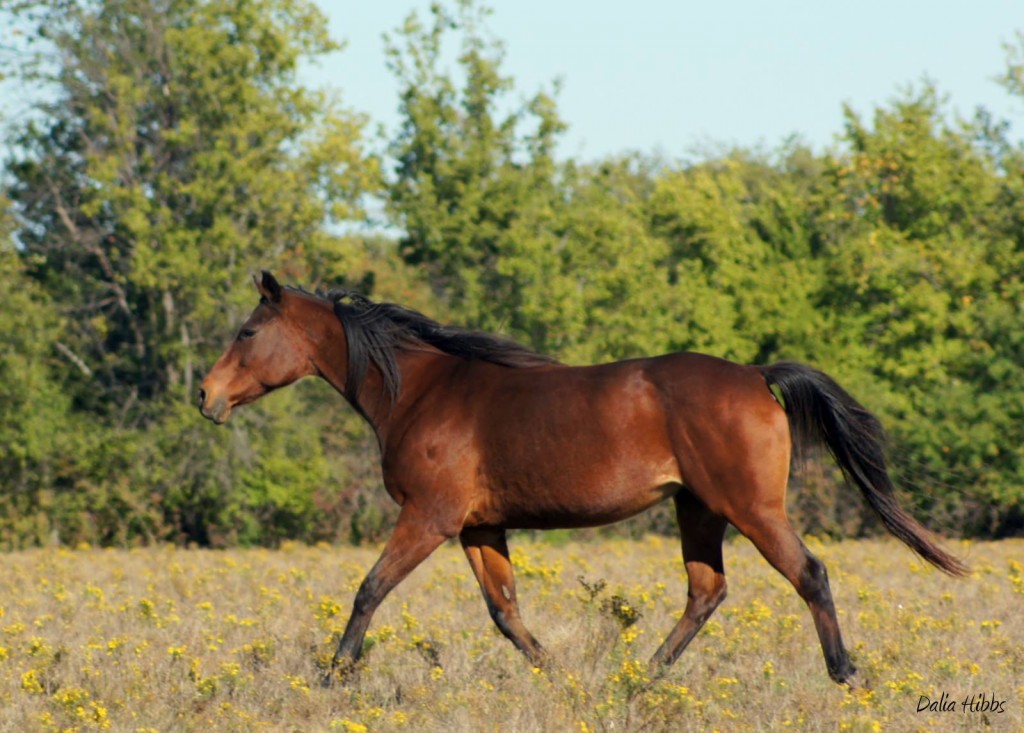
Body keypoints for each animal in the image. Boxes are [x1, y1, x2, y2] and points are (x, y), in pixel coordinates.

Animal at [199, 270, 966, 687]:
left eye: (246, 331)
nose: (204, 396)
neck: (420, 389)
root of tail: (755, 375)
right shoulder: (478, 527)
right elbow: (505, 612)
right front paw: (561, 677)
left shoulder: (429, 517)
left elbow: (369, 590)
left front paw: (335, 675)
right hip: (699, 511)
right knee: (706, 591)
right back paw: (644, 677)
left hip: (751, 508)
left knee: (809, 574)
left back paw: (845, 673)